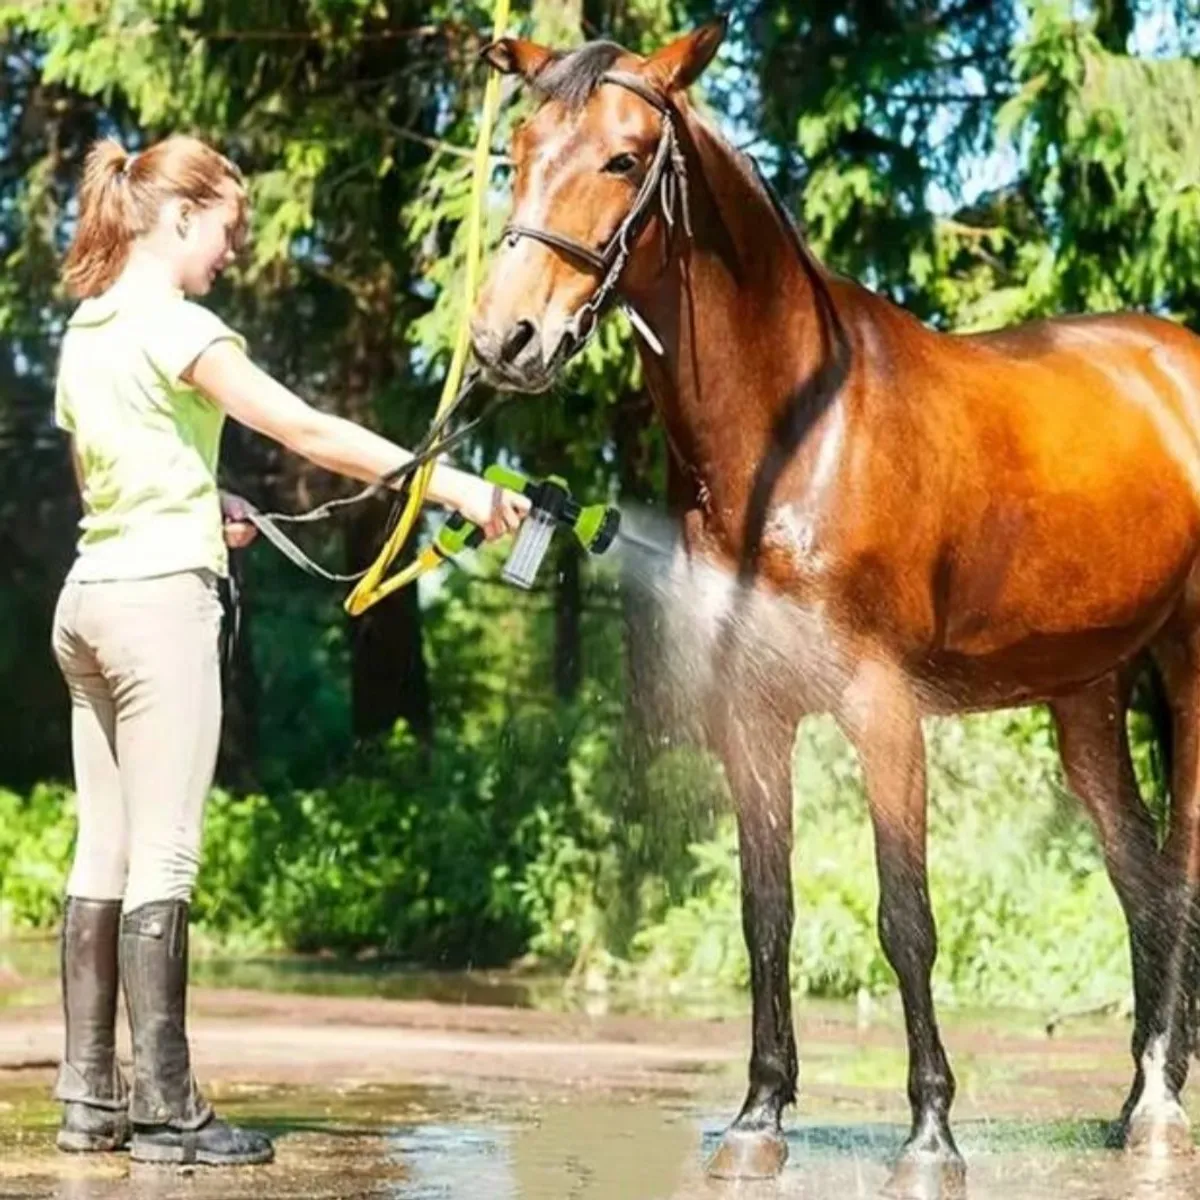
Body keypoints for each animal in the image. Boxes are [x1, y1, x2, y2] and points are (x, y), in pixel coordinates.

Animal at [470, 17, 1200, 1192]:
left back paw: (1164, 1111)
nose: (507, 340)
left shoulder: (882, 709)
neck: (795, 436)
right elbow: (767, 910)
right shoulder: (751, 717)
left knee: (1179, 872)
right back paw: (1138, 1099)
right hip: (1086, 697)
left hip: (1189, 671)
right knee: (1142, 881)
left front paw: (931, 1136)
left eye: (624, 159)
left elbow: (906, 918)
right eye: (518, 152)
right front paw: (758, 1117)